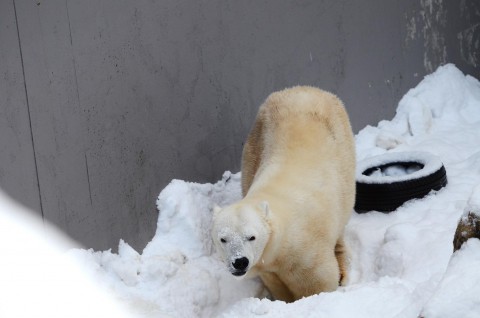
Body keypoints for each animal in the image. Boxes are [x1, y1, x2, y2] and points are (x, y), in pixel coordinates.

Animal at [212, 85, 354, 302]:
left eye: (251, 237)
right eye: (223, 239)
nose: (240, 261)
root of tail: (305, 88)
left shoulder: (306, 254)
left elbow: (320, 282)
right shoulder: (269, 267)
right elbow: (278, 285)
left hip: (342, 147)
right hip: (257, 138)